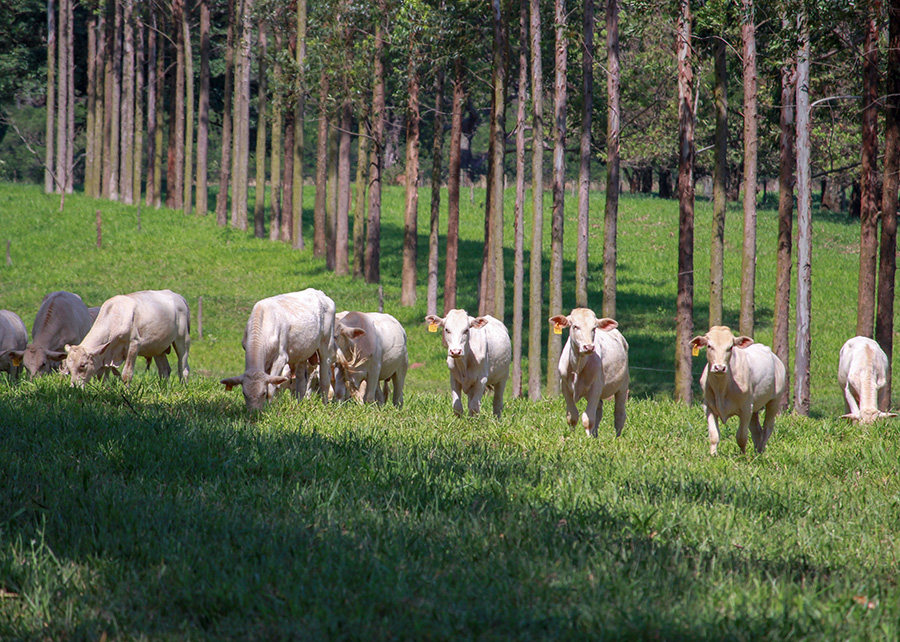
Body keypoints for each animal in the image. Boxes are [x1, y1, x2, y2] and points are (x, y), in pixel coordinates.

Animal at [544, 308, 628, 438]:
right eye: (575, 326)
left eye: (594, 328)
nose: (588, 347)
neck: (578, 366)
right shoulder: (565, 386)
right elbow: (572, 416)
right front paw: (573, 437)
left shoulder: (596, 387)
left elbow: (588, 419)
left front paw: (587, 440)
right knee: (599, 411)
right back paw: (595, 436)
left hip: (623, 386)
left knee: (619, 414)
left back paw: (616, 438)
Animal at [688, 324, 788, 456]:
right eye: (709, 346)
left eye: (730, 347)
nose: (719, 367)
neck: (721, 388)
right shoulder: (709, 407)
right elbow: (714, 435)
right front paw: (713, 455)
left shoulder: (746, 409)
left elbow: (741, 437)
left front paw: (742, 456)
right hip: (754, 407)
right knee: (757, 431)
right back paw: (757, 453)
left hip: (774, 401)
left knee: (767, 428)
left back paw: (761, 451)